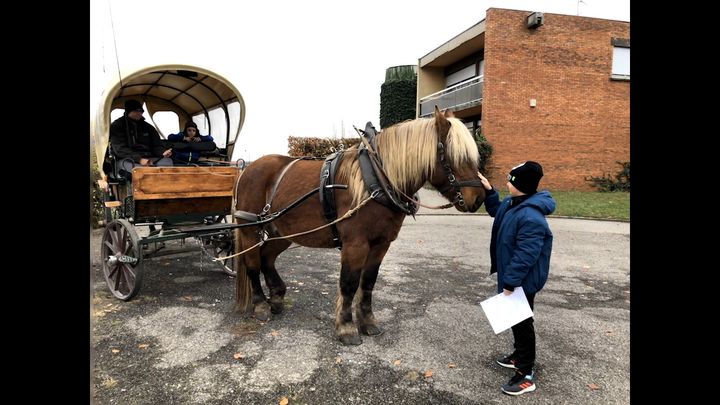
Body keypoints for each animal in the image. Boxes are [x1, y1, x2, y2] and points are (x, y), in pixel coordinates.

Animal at [233, 107, 486, 344]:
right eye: (455, 157)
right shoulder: (355, 244)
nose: (479, 199)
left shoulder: (381, 244)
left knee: (267, 257)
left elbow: (368, 282)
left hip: (282, 232)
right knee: (253, 263)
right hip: (250, 229)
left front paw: (368, 322)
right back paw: (260, 305)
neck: (377, 178)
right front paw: (346, 327)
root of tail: (248, 168)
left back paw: (276, 297)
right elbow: (349, 283)